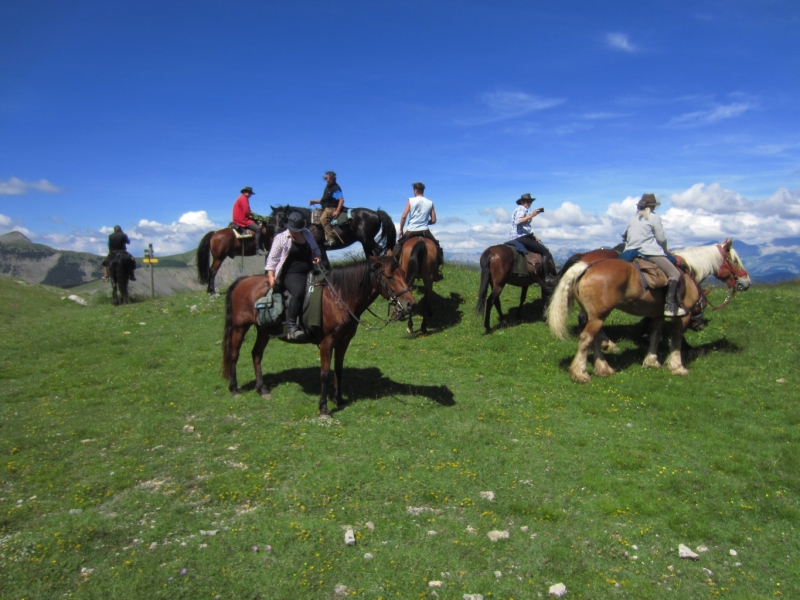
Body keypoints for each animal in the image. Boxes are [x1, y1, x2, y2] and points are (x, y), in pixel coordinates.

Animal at [222, 255, 416, 414]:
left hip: (264, 330)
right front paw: (323, 408)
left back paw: (262, 389)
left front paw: (339, 400)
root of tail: (242, 281)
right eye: (390, 277)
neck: (339, 297)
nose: (410, 304)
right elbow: (325, 374)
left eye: (403, 273)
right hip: (240, 327)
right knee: (234, 354)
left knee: (256, 354)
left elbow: (338, 370)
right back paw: (234, 389)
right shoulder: (326, 343)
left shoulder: (343, 342)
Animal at [548, 240, 748, 384]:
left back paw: (603, 367)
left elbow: (655, 335)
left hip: (596, 315)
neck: (688, 272)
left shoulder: (657, 314)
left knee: (592, 337)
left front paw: (651, 361)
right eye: (735, 260)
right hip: (598, 316)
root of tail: (586, 265)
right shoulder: (682, 316)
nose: (746, 282)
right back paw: (581, 373)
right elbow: (676, 338)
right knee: (586, 337)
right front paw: (677, 366)